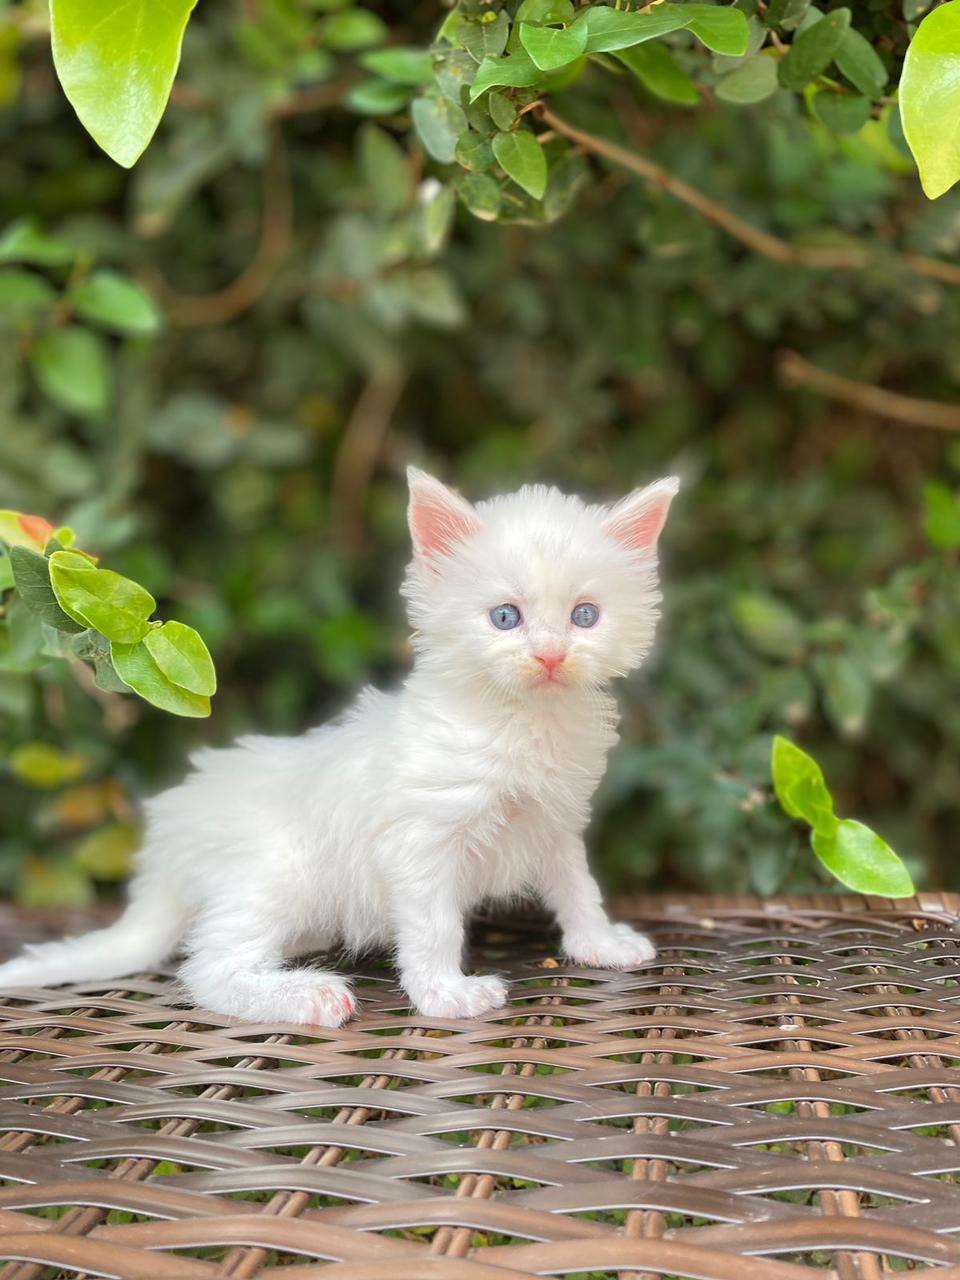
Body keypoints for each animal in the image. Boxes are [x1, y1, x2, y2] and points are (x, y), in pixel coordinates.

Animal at [0, 476, 675, 1024]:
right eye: (505, 617)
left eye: (585, 616)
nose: (552, 656)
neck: (521, 719)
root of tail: (165, 853)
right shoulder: (421, 842)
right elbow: (434, 925)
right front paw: (444, 994)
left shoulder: (555, 824)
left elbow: (578, 887)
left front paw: (601, 943)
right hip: (276, 872)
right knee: (208, 969)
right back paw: (304, 996)